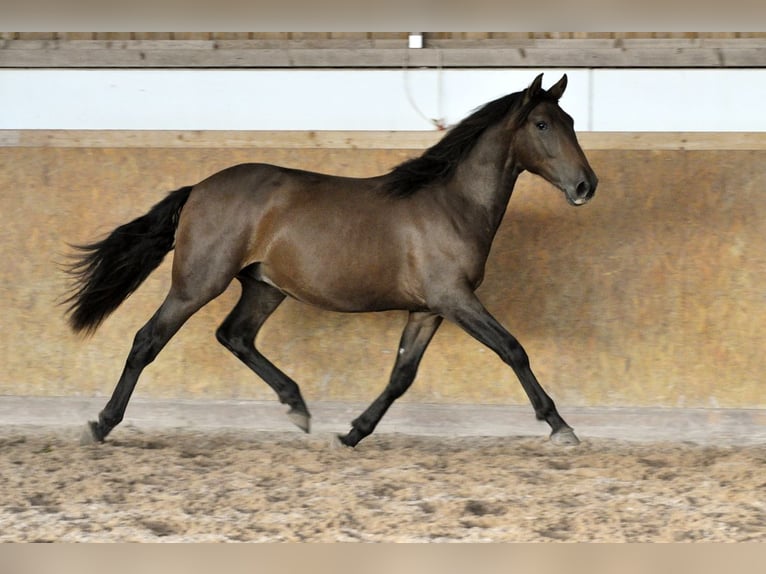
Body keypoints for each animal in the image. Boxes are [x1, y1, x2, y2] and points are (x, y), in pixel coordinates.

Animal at [63, 73, 596, 450]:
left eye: (571, 122)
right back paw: (102, 423)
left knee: (235, 335)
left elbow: (401, 376)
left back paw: (298, 407)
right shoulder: (455, 299)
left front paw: (354, 432)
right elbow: (513, 349)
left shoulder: (428, 309)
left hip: (264, 286)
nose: (585, 186)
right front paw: (560, 425)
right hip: (198, 283)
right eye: (543, 124)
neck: (452, 203)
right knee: (147, 340)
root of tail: (198, 189)